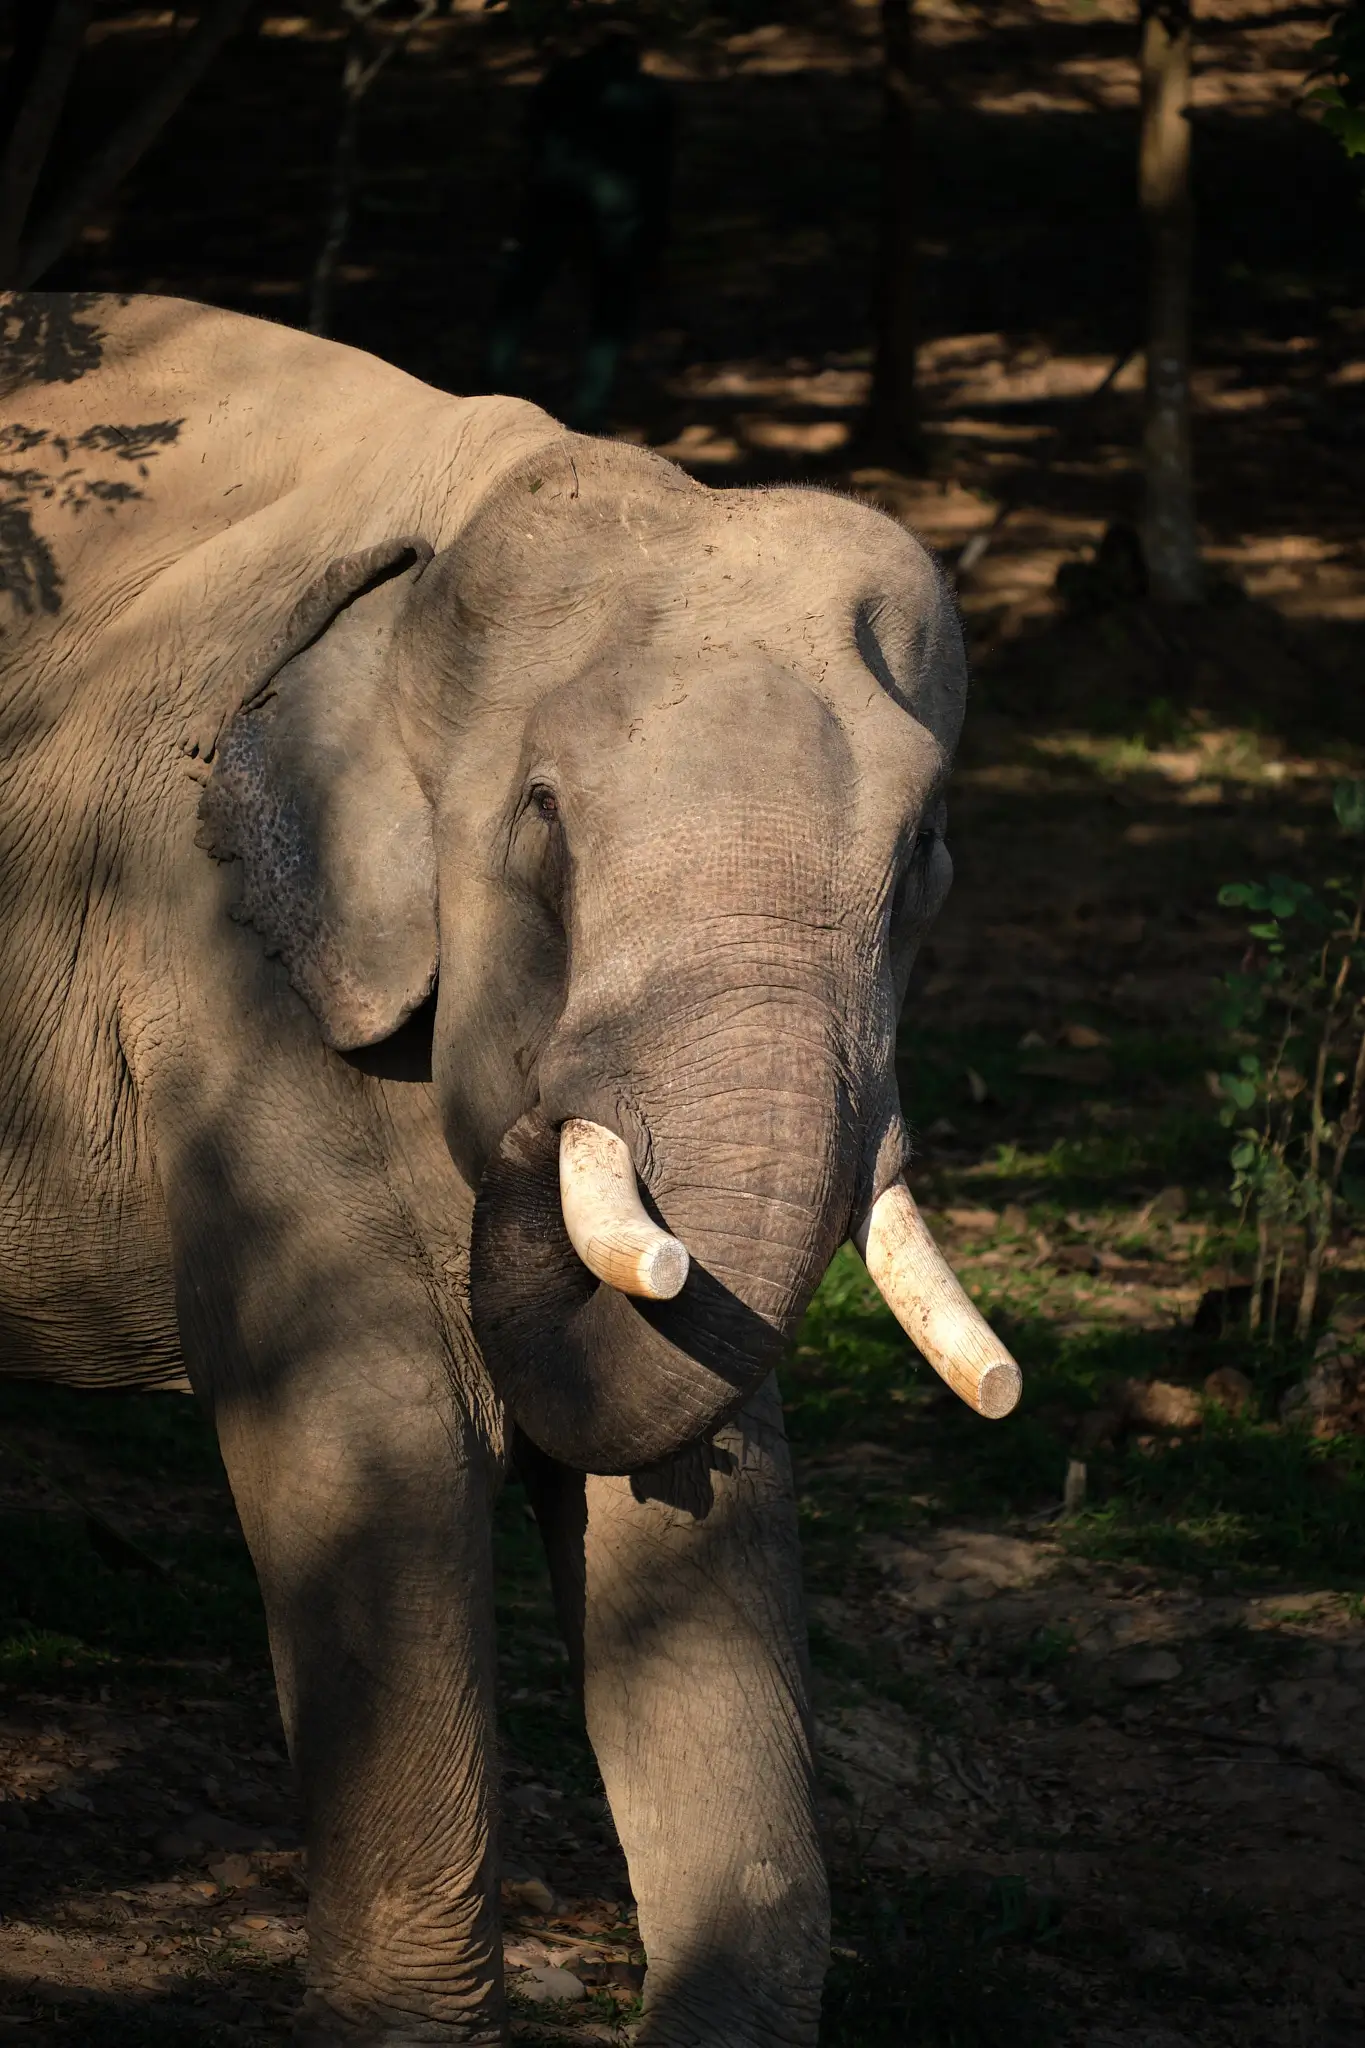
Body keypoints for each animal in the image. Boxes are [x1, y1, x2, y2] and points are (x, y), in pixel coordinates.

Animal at [0, 291, 1018, 2046]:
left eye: (924, 857)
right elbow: (376, 1439)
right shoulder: (210, 957)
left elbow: (703, 1482)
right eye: (542, 827)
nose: (552, 1115)